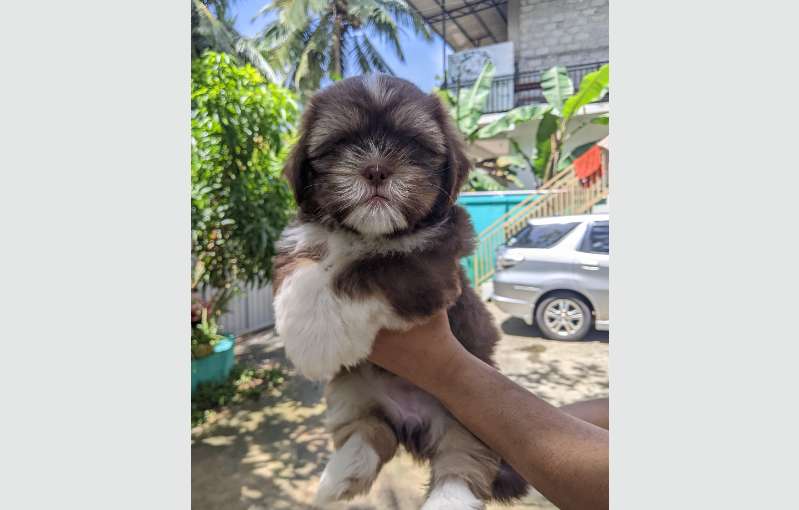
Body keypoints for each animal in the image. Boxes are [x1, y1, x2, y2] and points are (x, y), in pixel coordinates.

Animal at [272, 73, 528, 508]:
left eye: (413, 143)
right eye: (341, 143)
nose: (376, 169)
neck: (367, 234)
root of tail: (411, 421)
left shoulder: (430, 266)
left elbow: (368, 270)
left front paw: (313, 340)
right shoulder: (300, 238)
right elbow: (302, 268)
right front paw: (303, 324)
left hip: (473, 412)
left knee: (463, 460)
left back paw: (447, 498)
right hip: (352, 392)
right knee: (371, 432)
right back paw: (338, 477)